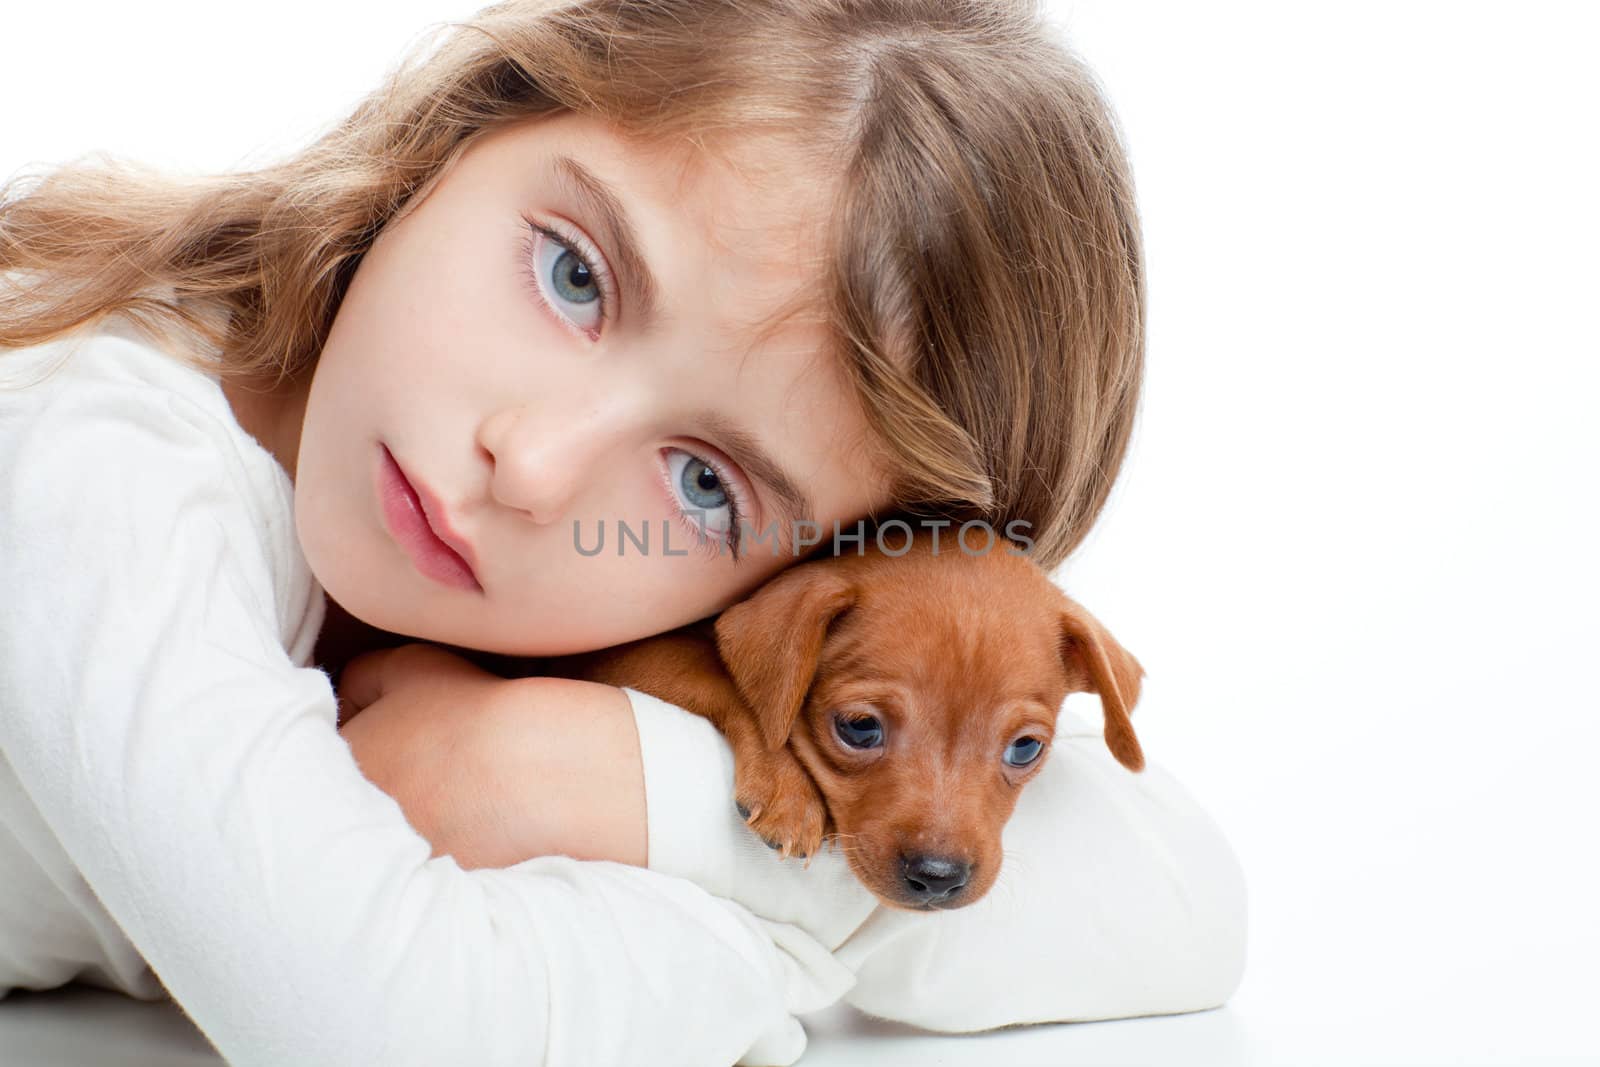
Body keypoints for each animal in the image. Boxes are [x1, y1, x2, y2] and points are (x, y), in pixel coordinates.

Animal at [531, 531, 1145, 915]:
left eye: (1025, 749)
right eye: (859, 728)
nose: (938, 876)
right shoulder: (619, 651)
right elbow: (718, 676)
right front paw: (788, 791)